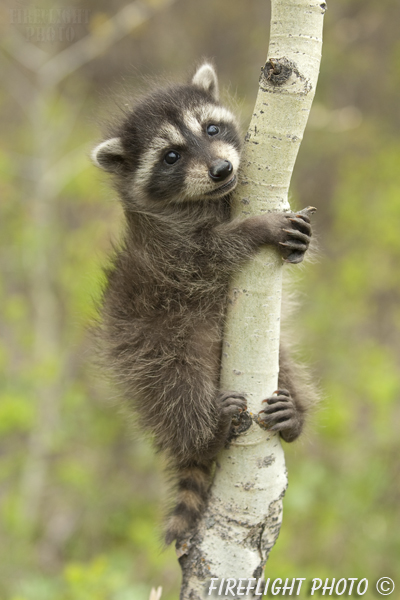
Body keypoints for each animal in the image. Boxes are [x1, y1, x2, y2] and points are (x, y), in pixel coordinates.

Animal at [91, 63, 316, 548]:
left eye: (211, 129)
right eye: (171, 157)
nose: (221, 169)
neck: (208, 200)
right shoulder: (167, 252)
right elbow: (207, 256)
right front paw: (254, 229)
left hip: (273, 357)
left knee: (287, 368)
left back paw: (295, 416)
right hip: (146, 347)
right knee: (176, 389)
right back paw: (202, 436)